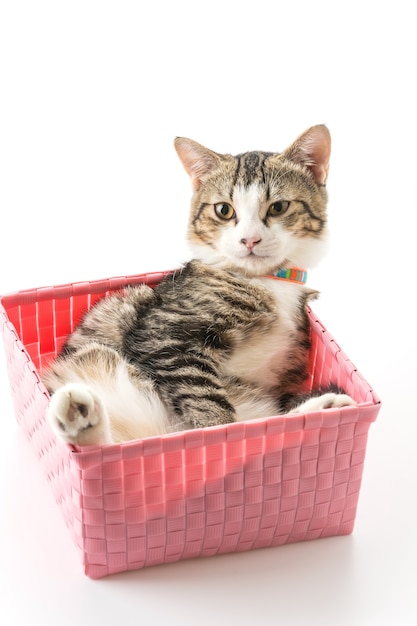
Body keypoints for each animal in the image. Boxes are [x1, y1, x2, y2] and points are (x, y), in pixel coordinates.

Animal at [43, 123, 354, 444]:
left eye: (278, 207)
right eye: (224, 210)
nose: (250, 240)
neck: (265, 280)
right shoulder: (163, 335)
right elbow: (205, 398)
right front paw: (220, 434)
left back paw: (326, 406)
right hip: (96, 360)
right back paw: (77, 414)